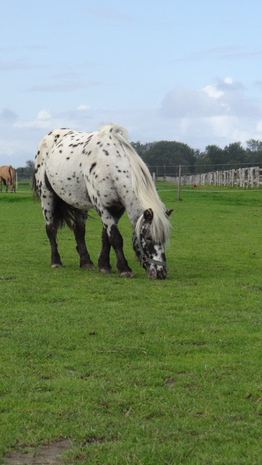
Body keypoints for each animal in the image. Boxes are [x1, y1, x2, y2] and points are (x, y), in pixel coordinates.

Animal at [32, 122, 172, 280]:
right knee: (51, 228)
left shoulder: (117, 208)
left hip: (79, 202)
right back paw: (56, 261)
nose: (161, 273)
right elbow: (116, 237)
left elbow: (106, 237)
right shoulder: (102, 206)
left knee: (79, 230)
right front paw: (124, 269)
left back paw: (86, 262)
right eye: (148, 238)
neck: (110, 164)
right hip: (47, 196)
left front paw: (104, 265)